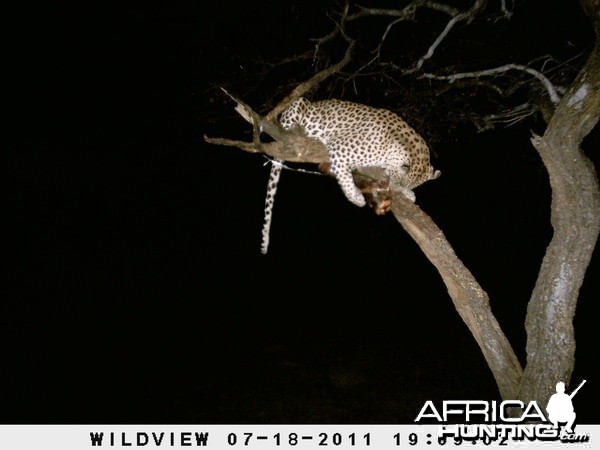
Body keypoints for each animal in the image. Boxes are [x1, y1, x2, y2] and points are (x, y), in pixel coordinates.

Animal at [258, 96, 440, 255]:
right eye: (396, 183)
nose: (394, 190)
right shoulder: (340, 148)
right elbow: (344, 176)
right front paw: (356, 198)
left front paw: (410, 194)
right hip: (298, 106)